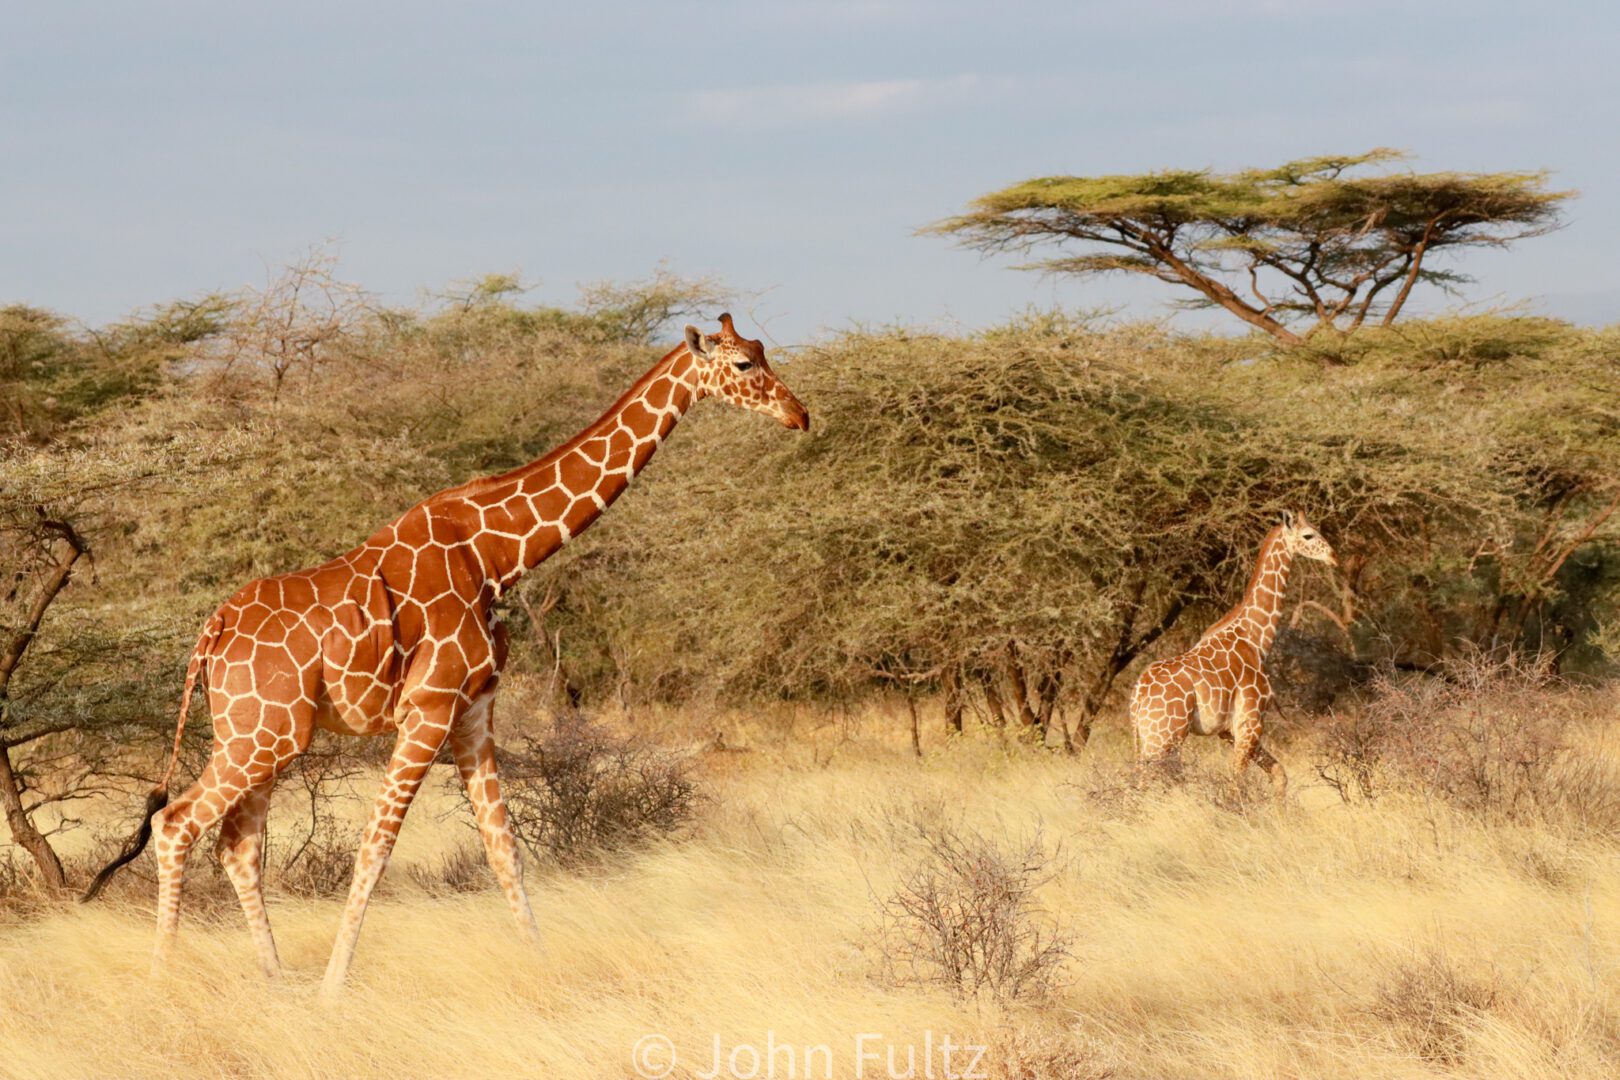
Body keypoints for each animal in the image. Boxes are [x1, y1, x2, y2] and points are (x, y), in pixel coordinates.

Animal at [85, 312, 806, 997]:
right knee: (176, 823)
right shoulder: (427, 708)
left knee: (238, 845)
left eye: (765, 352)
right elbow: (375, 849)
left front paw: (543, 966)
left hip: (257, 733)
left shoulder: (473, 710)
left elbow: (504, 847)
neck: (497, 553)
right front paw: (333, 989)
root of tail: (212, 631)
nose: (799, 415)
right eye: (744, 364)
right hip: (264, 734)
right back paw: (162, 980)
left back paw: (274, 978)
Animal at [1127, 511, 1341, 799]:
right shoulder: (1250, 722)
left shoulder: (1228, 731)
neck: (1256, 638)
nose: (1334, 556)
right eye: (1308, 535)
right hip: (1163, 736)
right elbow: (1236, 784)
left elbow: (1279, 774)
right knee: (1142, 786)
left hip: (1150, 736)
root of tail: (1138, 696)